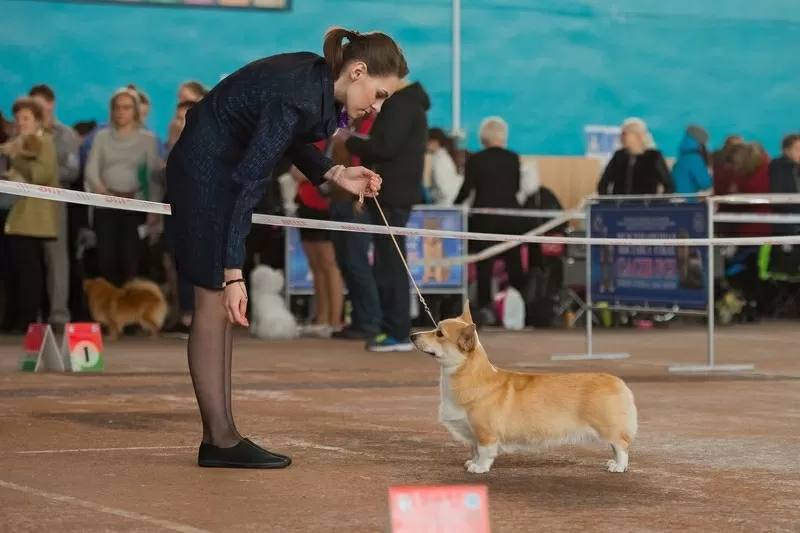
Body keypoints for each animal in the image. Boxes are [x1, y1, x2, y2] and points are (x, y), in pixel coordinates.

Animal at [412, 300, 636, 474]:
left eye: (439, 333)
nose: (412, 336)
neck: (469, 375)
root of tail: (617, 381)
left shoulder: (485, 433)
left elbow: (484, 452)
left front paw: (480, 467)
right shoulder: (474, 433)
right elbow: (474, 450)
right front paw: (472, 462)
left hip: (608, 427)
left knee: (621, 445)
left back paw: (619, 466)